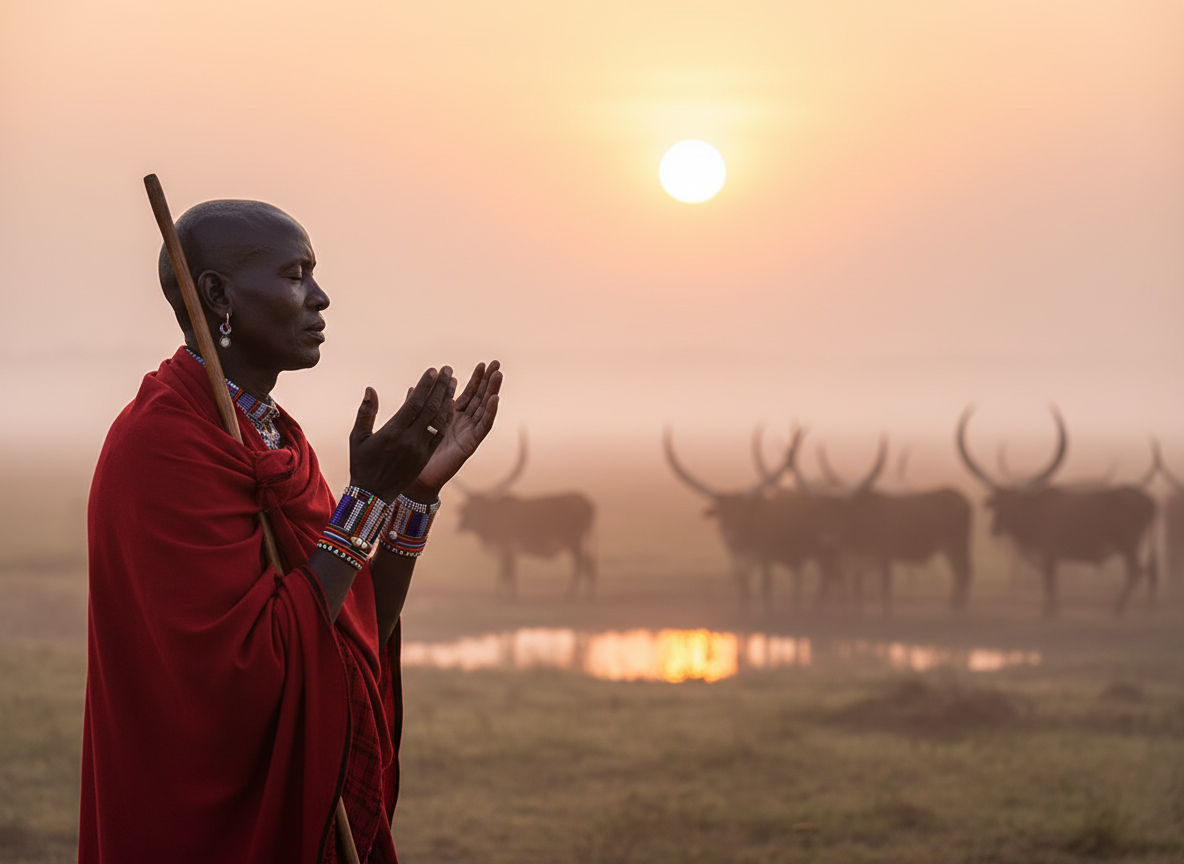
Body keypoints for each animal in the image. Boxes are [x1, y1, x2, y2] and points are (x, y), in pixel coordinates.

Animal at [455, 431, 596, 599]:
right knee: (589, 564)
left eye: (479, 507)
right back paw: (588, 596)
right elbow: (507, 575)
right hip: (580, 541)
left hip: (573, 540)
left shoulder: (507, 548)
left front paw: (507, 597)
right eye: (468, 507)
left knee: (580, 565)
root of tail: (586, 501)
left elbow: (507, 575)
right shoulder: (508, 553)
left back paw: (570, 595)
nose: (461, 526)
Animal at [956, 406, 1157, 617]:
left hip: (1129, 544)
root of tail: (1147, 499)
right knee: (1144, 572)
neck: (1034, 510)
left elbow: (1050, 581)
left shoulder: (1049, 552)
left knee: (1136, 571)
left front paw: (1049, 612)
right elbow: (1050, 581)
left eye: (1014, 503)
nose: (996, 528)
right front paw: (1054, 610)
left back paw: (1117, 610)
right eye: (997, 503)